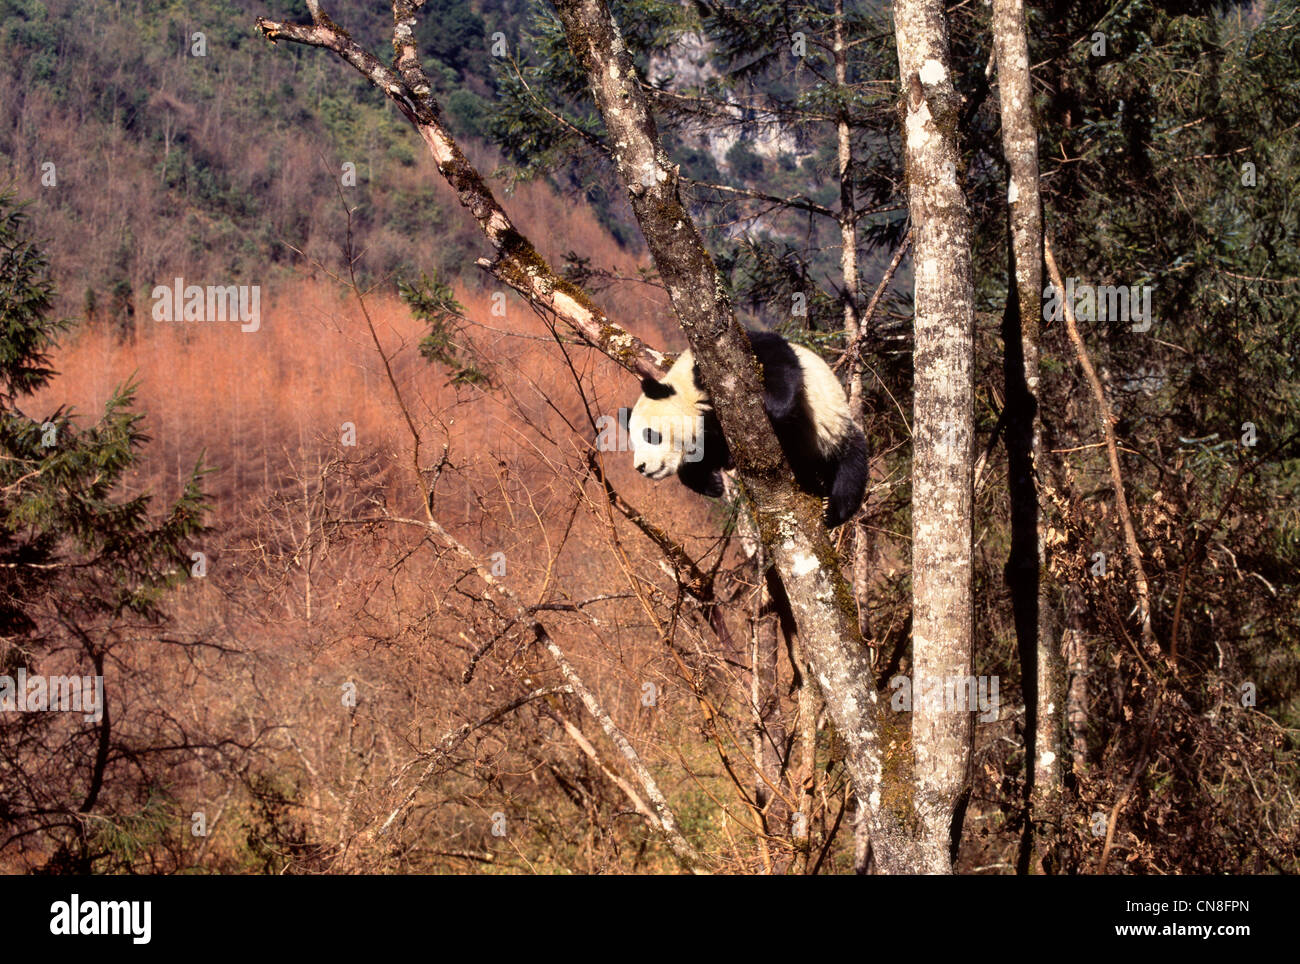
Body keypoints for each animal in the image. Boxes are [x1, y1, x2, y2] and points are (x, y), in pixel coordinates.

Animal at [628, 329, 868, 529]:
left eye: (650, 435)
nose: (640, 467)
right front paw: (712, 483)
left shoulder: (713, 364)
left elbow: (773, 355)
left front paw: (775, 408)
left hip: (834, 429)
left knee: (850, 468)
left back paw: (832, 512)